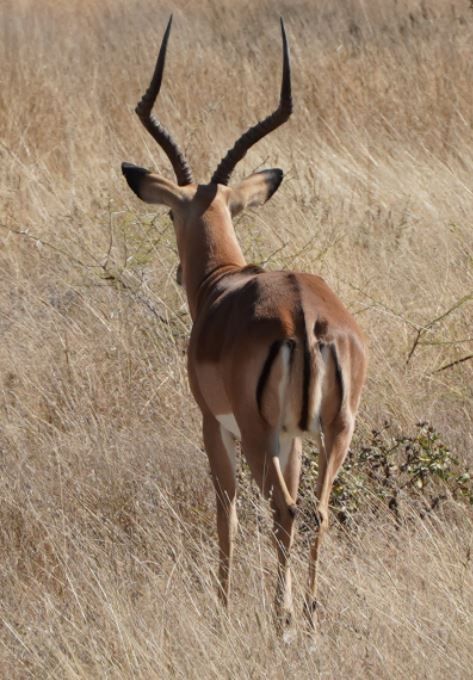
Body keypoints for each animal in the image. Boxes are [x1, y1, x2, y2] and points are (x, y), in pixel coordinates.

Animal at [121, 16, 367, 636]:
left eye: (171, 211)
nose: (177, 270)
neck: (225, 283)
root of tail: (306, 316)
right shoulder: (296, 437)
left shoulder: (214, 424)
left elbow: (225, 507)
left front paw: (224, 604)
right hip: (336, 429)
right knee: (317, 508)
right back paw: (308, 613)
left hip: (259, 432)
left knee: (282, 507)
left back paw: (282, 619)